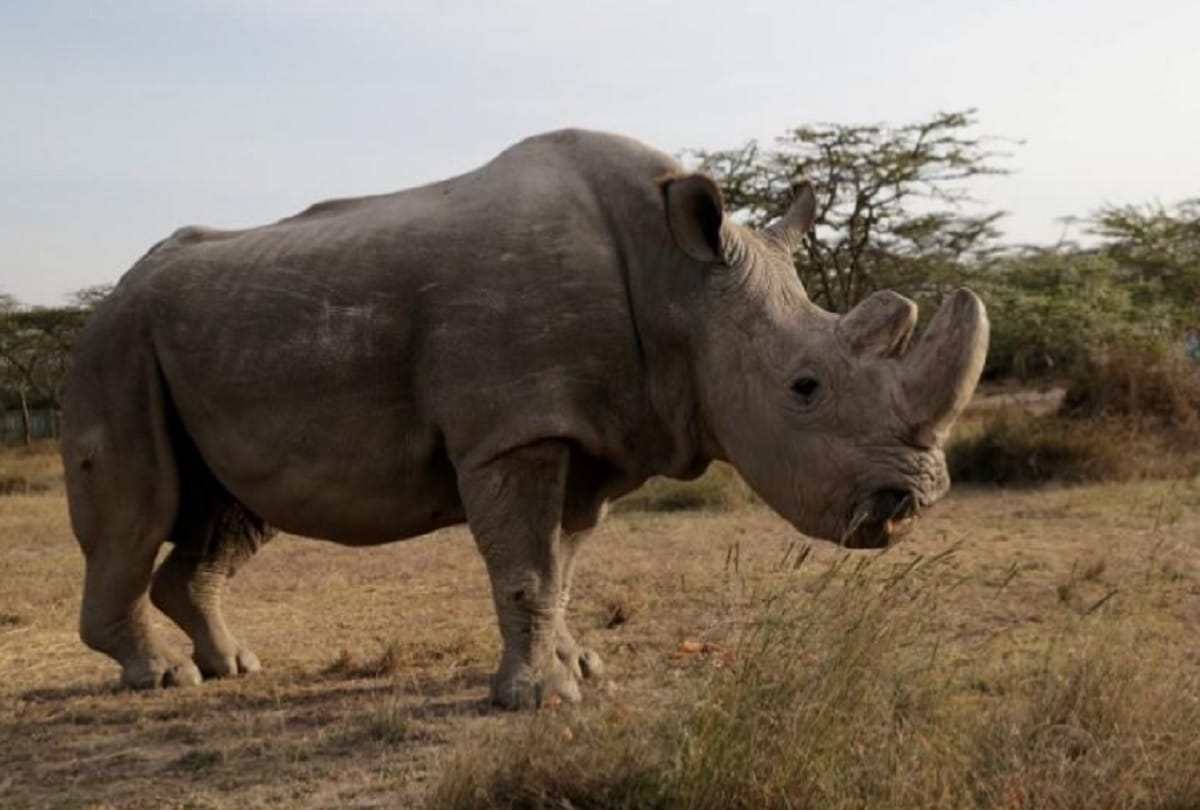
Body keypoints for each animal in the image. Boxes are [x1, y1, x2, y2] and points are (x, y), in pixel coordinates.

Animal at [61, 129, 987, 708]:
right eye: (805, 387)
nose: (910, 503)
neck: (680, 285)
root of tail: (109, 294)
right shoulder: (513, 431)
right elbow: (525, 568)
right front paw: (538, 699)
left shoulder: (593, 433)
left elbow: (560, 565)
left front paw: (582, 668)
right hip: (115, 345)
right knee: (139, 508)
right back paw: (164, 678)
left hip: (201, 342)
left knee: (230, 512)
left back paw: (232, 667)